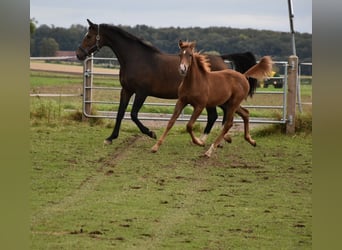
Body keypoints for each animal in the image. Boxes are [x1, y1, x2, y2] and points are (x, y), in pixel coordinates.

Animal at [75, 19, 256, 145]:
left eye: (89, 36)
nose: (79, 54)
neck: (136, 58)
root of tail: (221, 59)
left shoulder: (141, 92)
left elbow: (133, 114)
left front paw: (150, 133)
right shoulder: (126, 90)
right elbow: (120, 114)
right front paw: (111, 137)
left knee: (219, 116)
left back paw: (211, 140)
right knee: (218, 116)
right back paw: (214, 140)